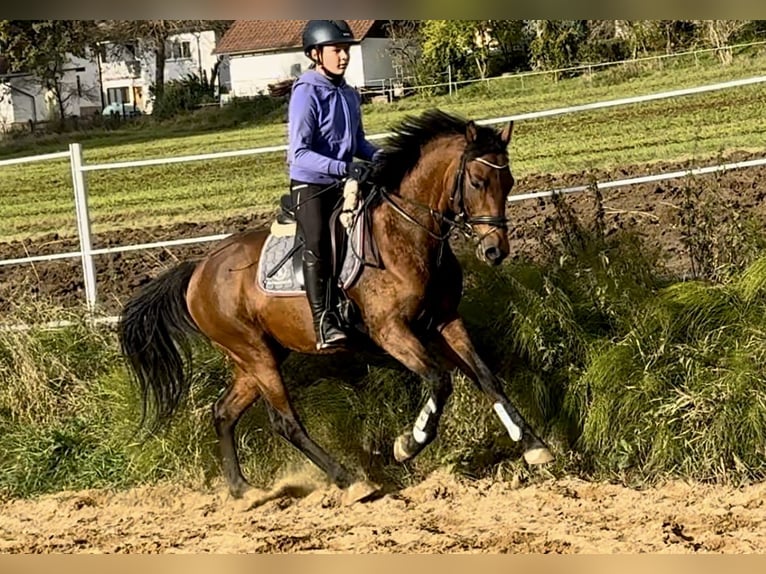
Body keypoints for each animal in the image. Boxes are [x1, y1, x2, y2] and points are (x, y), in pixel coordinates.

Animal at [118, 108, 552, 504]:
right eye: (477, 181)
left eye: (509, 182)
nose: (495, 251)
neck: (407, 234)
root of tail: (197, 270)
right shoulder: (391, 331)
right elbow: (439, 380)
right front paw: (408, 443)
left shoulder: (445, 321)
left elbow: (487, 377)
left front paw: (533, 445)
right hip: (255, 354)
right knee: (286, 422)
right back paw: (351, 480)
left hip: (255, 357)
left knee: (223, 412)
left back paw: (244, 491)